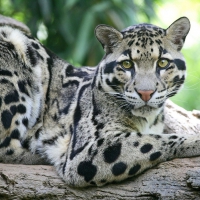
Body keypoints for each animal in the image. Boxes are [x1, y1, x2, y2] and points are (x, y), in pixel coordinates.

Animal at [0, 16, 200, 188]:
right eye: (127, 64)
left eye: (163, 63)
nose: (146, 93)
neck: (148, 119)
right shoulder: (85, 151)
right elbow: (153, 140)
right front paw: (195, 140)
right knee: (6, 147)